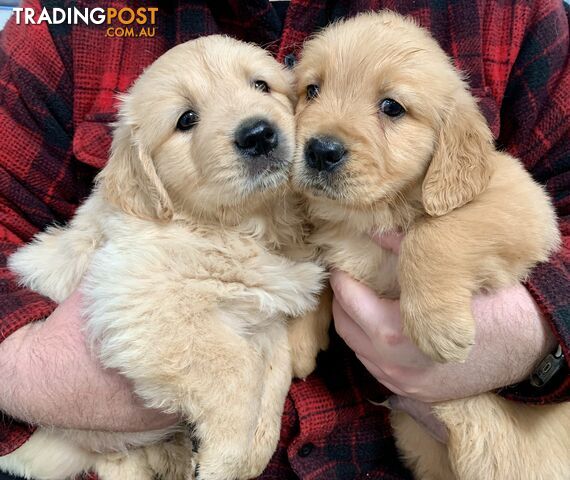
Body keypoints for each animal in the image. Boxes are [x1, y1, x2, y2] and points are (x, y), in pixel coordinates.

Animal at [2, 36, 324, 480]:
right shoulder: (143, 302)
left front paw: (254, 452)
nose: (259, 134)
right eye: (186, 119)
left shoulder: (266, 317)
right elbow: (238, 369)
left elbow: (273, 375)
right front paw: (223, 460)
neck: (238, 227)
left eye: (261, 85)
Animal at [290, 10, 568, 480]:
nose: (319, 150)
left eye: (392, 107)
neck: (369, 214)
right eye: (312, 90)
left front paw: (438, 325)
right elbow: (317, 269)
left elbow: (433, 233)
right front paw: (297, 343)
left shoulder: (522, 202)